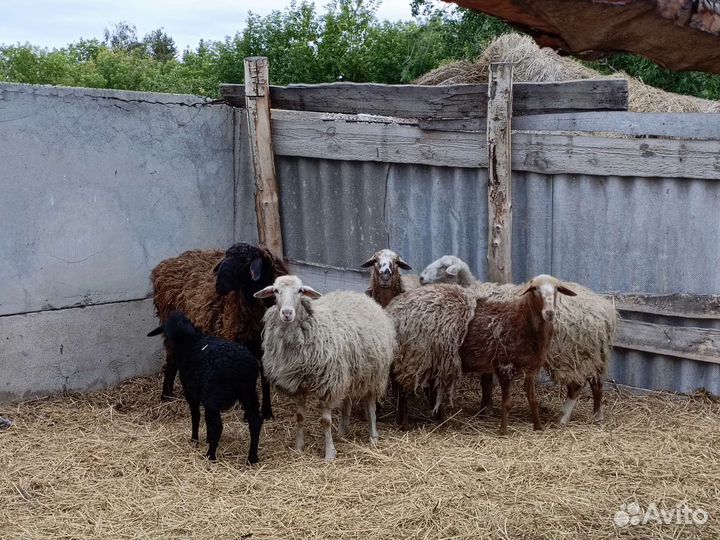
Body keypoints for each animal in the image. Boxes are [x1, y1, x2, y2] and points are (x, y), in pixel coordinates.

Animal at [147, 311, 262, 464]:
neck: (189, 341)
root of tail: (240, 365)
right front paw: (207, 439)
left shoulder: (191, 392)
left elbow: (196, 416)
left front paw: (194, 440)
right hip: (248, 392)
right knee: (255, 422)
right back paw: (252, 458)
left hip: (215, 395)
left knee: (217, 426)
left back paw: (210, 456)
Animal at [150, 242, 288, 420]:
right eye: (226, 258)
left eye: (245, 261)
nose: (218, 286)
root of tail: (167, 263)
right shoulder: (236, 337)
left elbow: (265, 378)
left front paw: (267, 411)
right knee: (172, 360)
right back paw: (166, 396)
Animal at [254, 275, 395, 461]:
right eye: (276, 291)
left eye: (300, 291)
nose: (287, 313)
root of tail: (359, 295)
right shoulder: (298, 384)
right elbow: (300, 417)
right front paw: (298, 447)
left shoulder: (327, 383)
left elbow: (325, 421)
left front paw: (329, 453)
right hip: (349, 372)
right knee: (347, 399)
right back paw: (343, 430)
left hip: (373, 372)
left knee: (370, 403)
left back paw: (373, 436)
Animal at [388, 276, 577, 434]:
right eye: (535, 289)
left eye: (557, 289)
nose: (549, 313)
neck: (522, 320)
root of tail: (394, 307)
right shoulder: (504, 365)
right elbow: (507, 403)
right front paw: (503, 431)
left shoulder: (530, 367)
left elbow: (533, 399)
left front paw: (538, 427)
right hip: (414, 355)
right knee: (403, 389)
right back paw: (406, 425)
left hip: (434, 358)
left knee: (428, 391)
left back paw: (441, 421)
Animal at [419, 255, 617, 425]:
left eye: (443, 267)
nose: (421, 278)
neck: (472, 290)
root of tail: (605, 313)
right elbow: (486, 381)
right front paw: (486, 409)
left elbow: (485, 382)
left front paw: (485, 410)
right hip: (593, 352)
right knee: (597, 383)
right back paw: (597, 416)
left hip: (569, 352)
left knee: (576, 385)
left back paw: (562, 418)